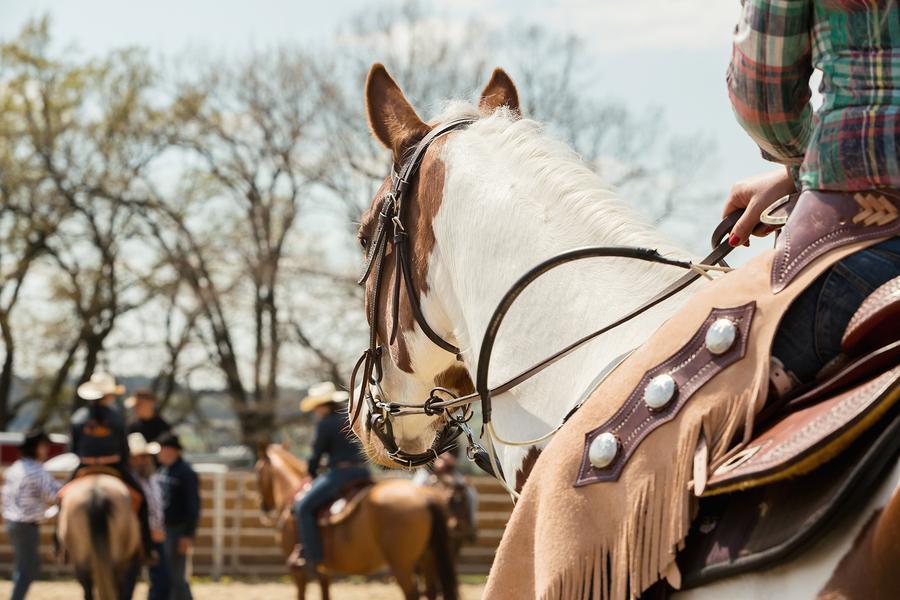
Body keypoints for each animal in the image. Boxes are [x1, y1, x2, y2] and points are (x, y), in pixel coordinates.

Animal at [256, 442, 460, 596]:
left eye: (258, 472)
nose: (264, 506)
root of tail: (425, 496)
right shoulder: (324, 572)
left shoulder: (298, 573)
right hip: (428, 559)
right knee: (431, 591)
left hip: (402, 565)